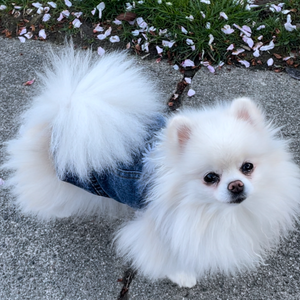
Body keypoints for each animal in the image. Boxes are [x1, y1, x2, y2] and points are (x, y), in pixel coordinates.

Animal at [3, 45, 300, 288]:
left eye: (247, 167)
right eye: (210, 177)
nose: (236, 186)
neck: (210, 211)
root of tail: (59, 120)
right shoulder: (160, 226)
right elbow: (161, 254)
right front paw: (183, 276)